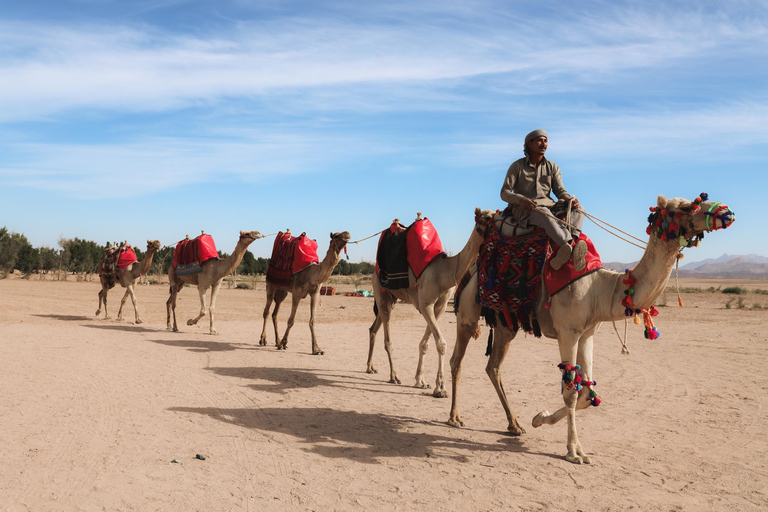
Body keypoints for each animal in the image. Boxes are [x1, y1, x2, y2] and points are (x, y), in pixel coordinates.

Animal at [368, 207, 498, 396]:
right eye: (487, 217)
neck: (445, 272)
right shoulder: (425, 303)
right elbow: (441, 343)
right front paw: (440, 388)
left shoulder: (440, 306)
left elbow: (425, 344)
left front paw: (421, 381)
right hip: (380, 290)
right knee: (387, 337)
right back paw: (394, 376)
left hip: (391, 297)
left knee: (373, 328)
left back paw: (370, 367)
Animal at [448, 195, 736, 464]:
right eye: (687, 206)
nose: (726, 212)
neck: (601, 288)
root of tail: (472, 268)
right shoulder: (568, 332)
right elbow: (570, 393)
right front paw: (575, 451)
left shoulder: (587, 333)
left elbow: (586, 392)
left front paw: (539, 418)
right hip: (468, 314)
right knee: (457, 360)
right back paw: (454, 417)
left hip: (507, 323)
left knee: (493, 367)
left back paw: (514, 424)